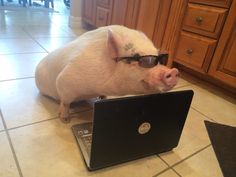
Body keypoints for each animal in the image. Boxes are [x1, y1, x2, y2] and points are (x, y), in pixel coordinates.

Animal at [35, 24, 179, 122]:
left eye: (160, 59)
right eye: (144, 60)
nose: (173, 71)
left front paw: (103, 98)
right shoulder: (64, 80)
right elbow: (65, 102)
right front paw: (65, 120)